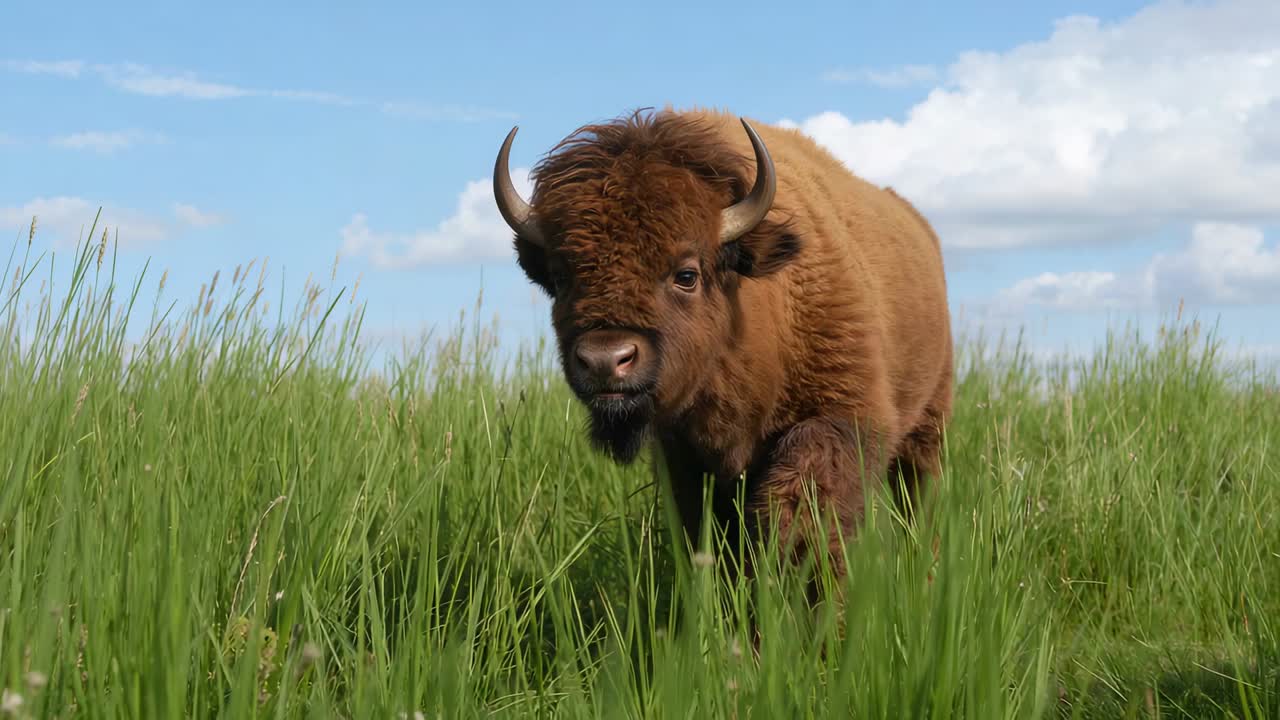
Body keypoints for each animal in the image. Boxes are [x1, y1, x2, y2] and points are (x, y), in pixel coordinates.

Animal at [494, 108, 953, 577]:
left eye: (686, 274)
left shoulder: (842, 420)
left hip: (928, 425)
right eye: (560, 277)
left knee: (919, 495)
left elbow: (802, 515)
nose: (606, 360)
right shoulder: (686, 460)